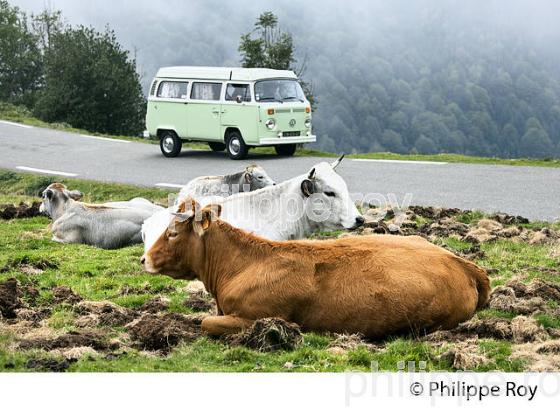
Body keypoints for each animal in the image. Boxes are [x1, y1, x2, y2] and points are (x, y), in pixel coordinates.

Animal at [141, 199, 490, 340]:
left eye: (172, 232)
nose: (144, 259)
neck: (241, 266)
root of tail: (462, 262)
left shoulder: (254, 317)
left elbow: (205, 323)